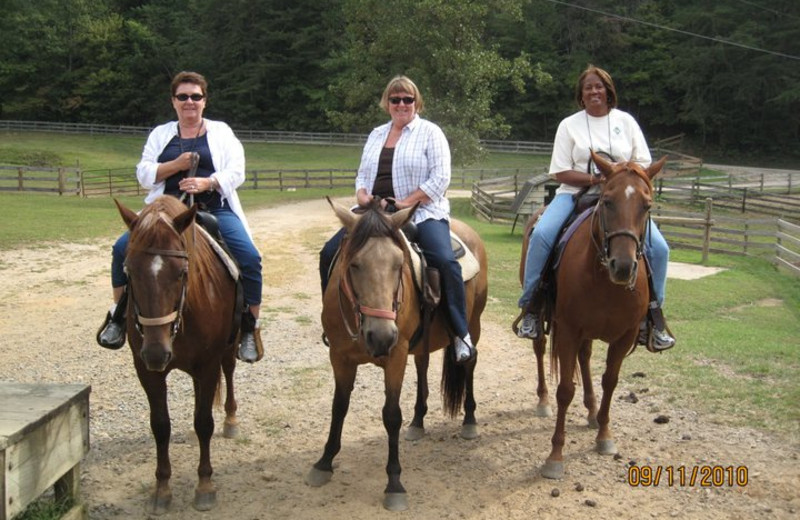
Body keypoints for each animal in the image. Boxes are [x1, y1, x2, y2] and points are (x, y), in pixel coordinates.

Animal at [115, 196, 241, 516]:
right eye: (129, 271)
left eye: (182, 272)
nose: (156, 352)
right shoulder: (146, 370)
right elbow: (161, 426)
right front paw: (161, 489)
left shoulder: (207, 365)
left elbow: (204, 423)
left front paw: (205, 486)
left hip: (228, 349)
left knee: (229, 372)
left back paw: (231, 419)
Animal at [308, 197, 488, 510]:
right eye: (354, 264)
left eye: (398, 263)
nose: (381, 336)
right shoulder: (340, 357)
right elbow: (338, 407)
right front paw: (325, 462)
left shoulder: (396, 355)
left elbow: (391, 415)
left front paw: (394, 483)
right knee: (423, 365)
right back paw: (417, 422)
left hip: (473, 323)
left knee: (470, 362)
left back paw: (469, 421)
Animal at [520, 151, 664, 480]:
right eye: (607, 201)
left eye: (647, 205)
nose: (622, 266)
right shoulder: (569, 330)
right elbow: (564, 390)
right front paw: (555, 456)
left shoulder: (623, 336)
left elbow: (610, 381)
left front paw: (604, 435)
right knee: (540, 350)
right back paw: (543, 400)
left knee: (585, 358)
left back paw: (592, 410)